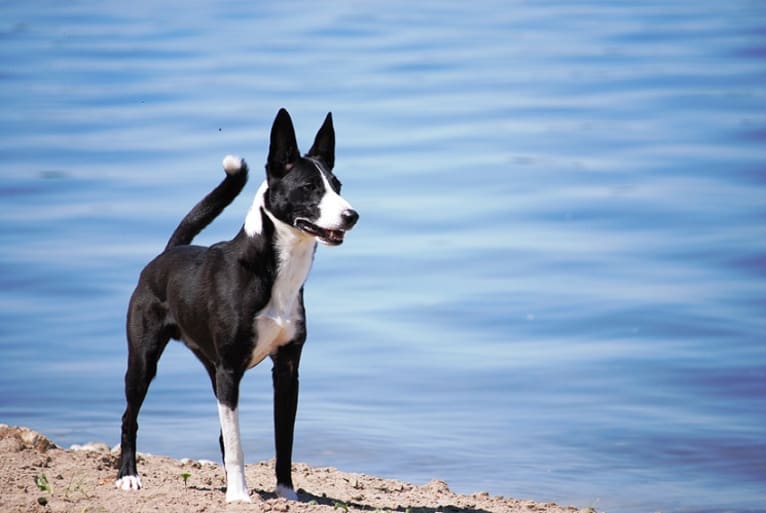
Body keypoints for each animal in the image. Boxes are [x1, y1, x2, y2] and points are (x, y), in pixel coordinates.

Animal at [115, 107, 360, 500]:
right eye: (309, 187)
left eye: (338, 185)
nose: (352, 216)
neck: (272, 272)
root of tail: (168, 253)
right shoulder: (230, 369)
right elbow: (236, 445)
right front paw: (238, 495)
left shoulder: (286, 369)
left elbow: (284, 439)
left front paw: (286, 491)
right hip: (143, 358)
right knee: (129, 416)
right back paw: (128, 475)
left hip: (210, 367)